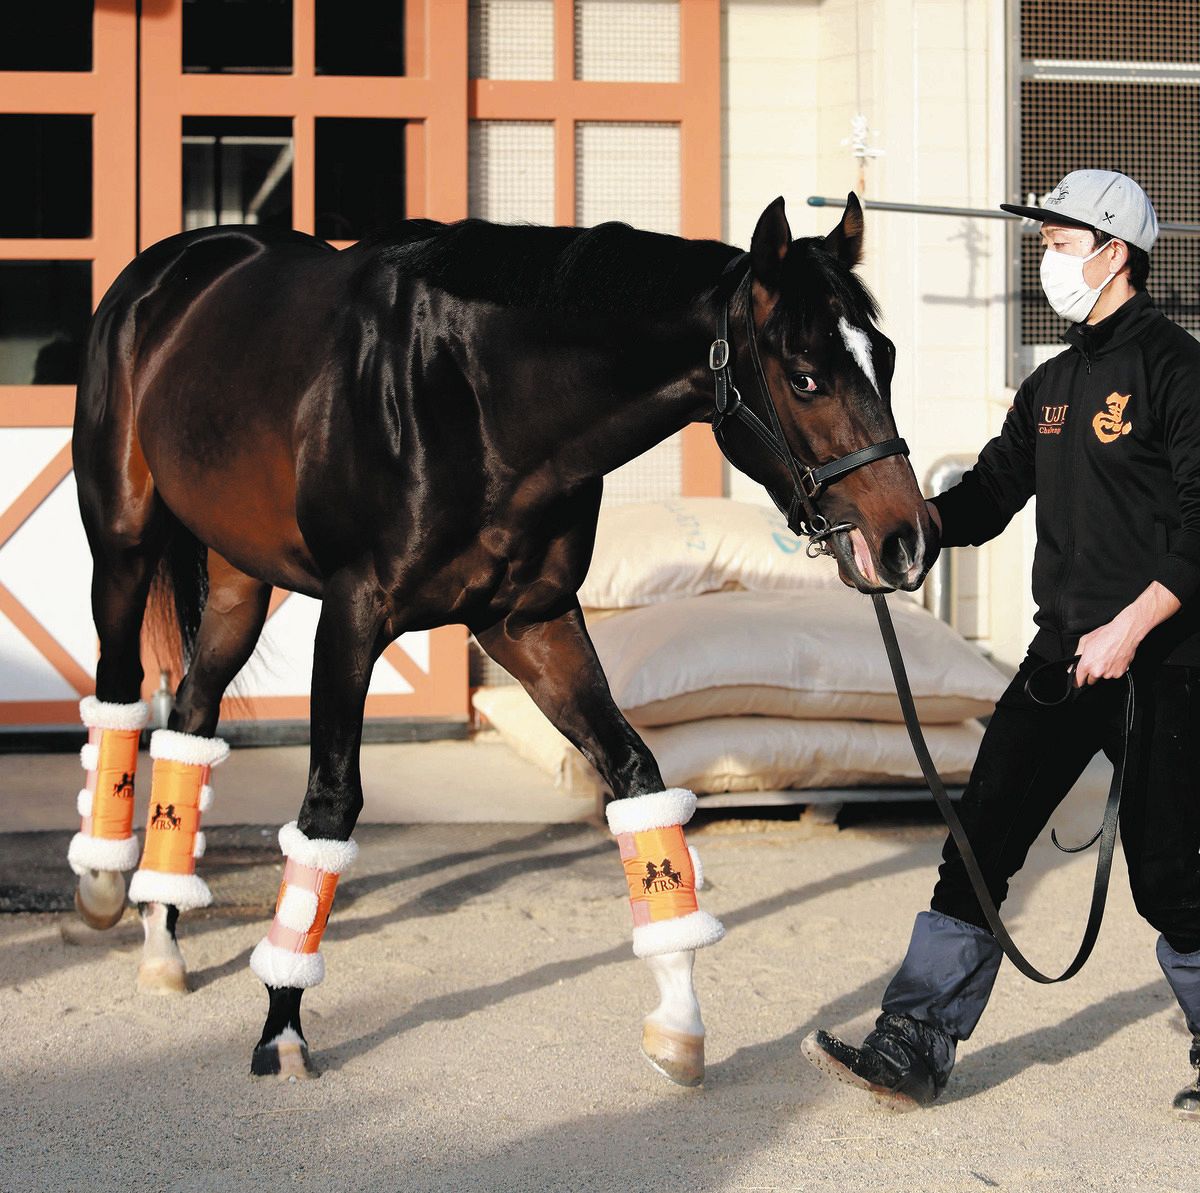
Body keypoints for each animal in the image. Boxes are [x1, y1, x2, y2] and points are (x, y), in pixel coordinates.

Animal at [68, 193, 936, 1080]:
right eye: (805, 375)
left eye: (887, 357)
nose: (907, 541)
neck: (470, 397)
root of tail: (169, 270)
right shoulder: (352, 616)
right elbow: (330, 805)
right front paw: (281, 1025)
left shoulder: (531, 621)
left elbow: (636, 775)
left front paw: (677, 1021)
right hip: (123, 545)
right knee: (119, 690)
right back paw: (105, 887)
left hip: (240, 577)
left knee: (189, 715)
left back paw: (162, 937)